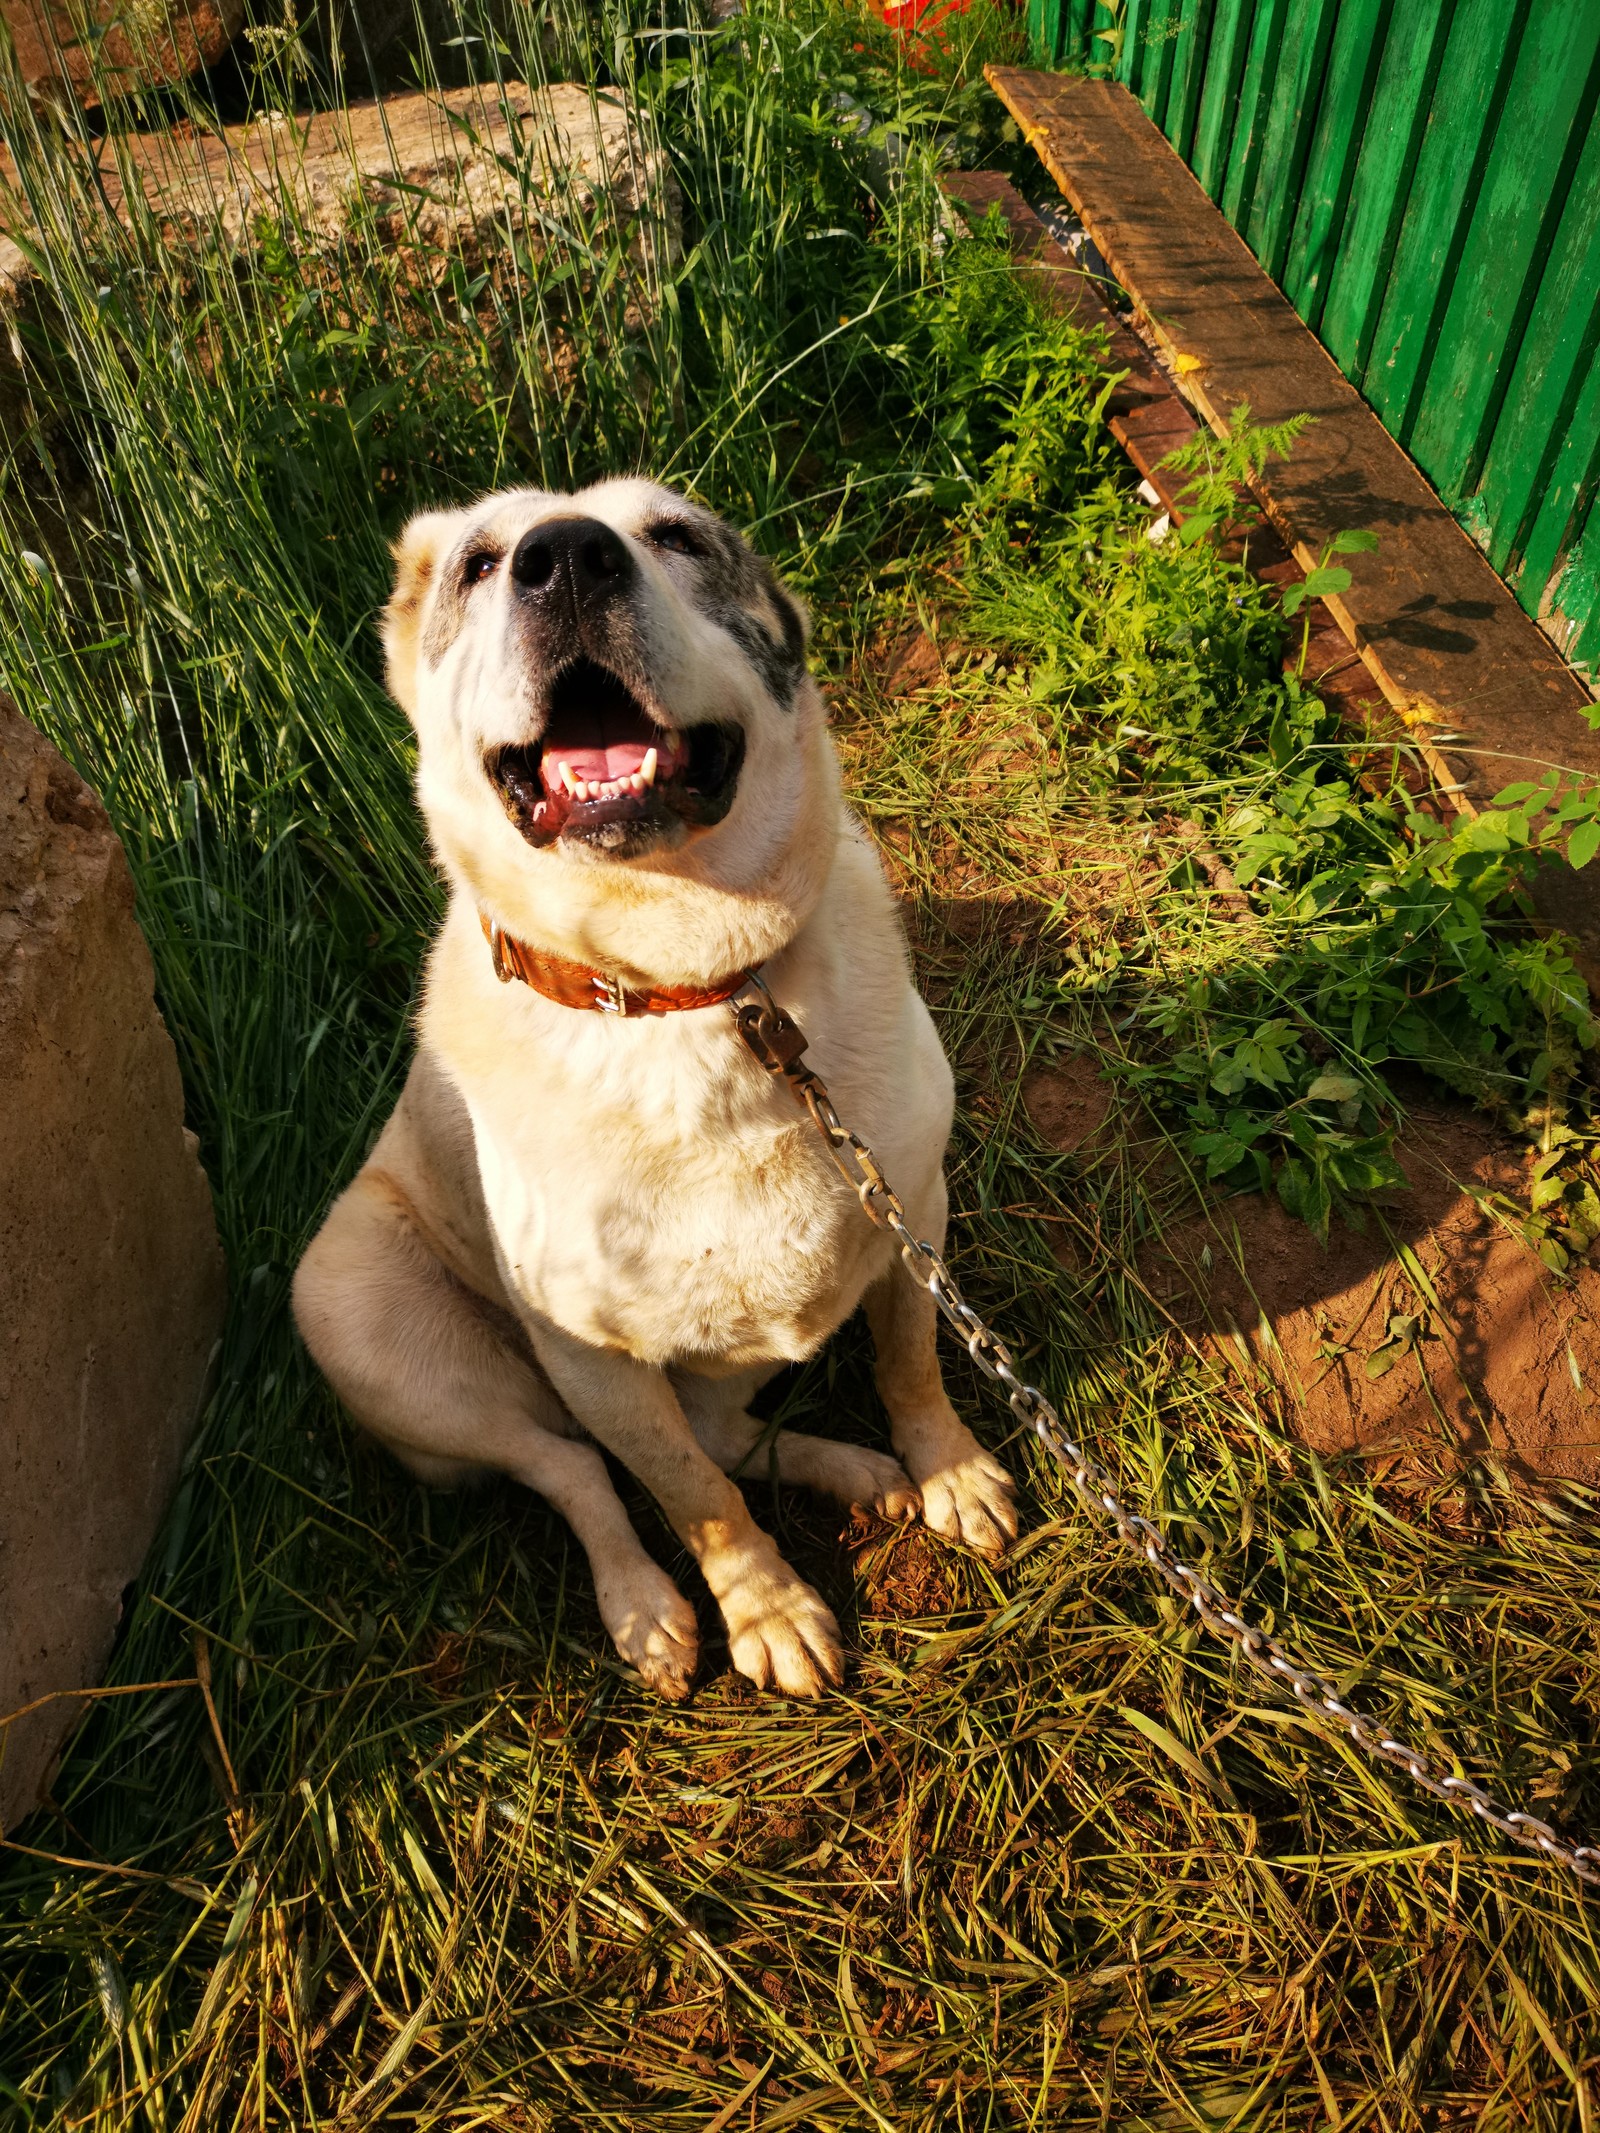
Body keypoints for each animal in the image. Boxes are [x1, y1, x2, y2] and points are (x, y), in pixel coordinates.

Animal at [292, 479, 1015, 1697]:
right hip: (354, 1306)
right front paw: (766, 1609)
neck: (686, 991)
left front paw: (947, 1470)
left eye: (676, 535)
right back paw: (644, 1609)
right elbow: (693, 1497)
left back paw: (860, 1473)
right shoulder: (595, 1354)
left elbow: (912, 1360)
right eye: (479, 563)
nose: (565, 559)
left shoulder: (911, 1205)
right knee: (576, 1468)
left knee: (719, 1431)